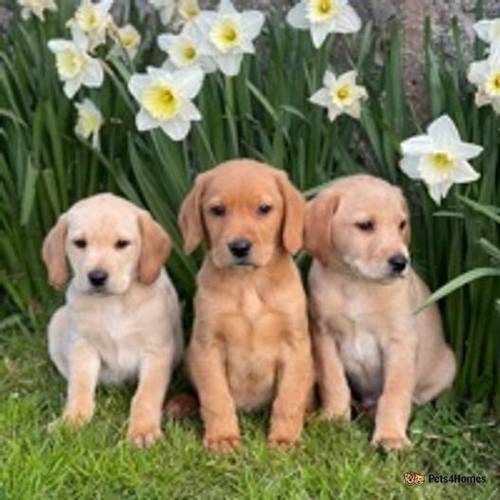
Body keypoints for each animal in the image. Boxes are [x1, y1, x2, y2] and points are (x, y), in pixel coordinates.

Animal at [43, 193, 183, 448]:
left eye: (122, 244)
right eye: (80, 243)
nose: (97, 277)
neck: (113, 303)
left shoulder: (157, 351)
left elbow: (146, 395)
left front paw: (143, 430)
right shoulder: (83, 346)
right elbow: (79, 388)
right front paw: (71, 421)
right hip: (57, 321)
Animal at [179, 160, 312, 454]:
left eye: (264, 209)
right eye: (217, 210)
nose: (239, 247)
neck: (249, 282)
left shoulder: (295, 346)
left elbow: (288, 399)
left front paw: (284, 439)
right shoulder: (207, 346)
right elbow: (216, 397)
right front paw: (222, 437)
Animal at [304, 175, 458, 450]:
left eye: (401, 224)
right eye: (365, 225)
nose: (400, 262)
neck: (356, 283)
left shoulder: (400, 342)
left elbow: (394, 394)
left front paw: (390, 436)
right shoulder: (323, 335)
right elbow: (334, 381)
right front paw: (333, 418)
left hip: (447, 367)